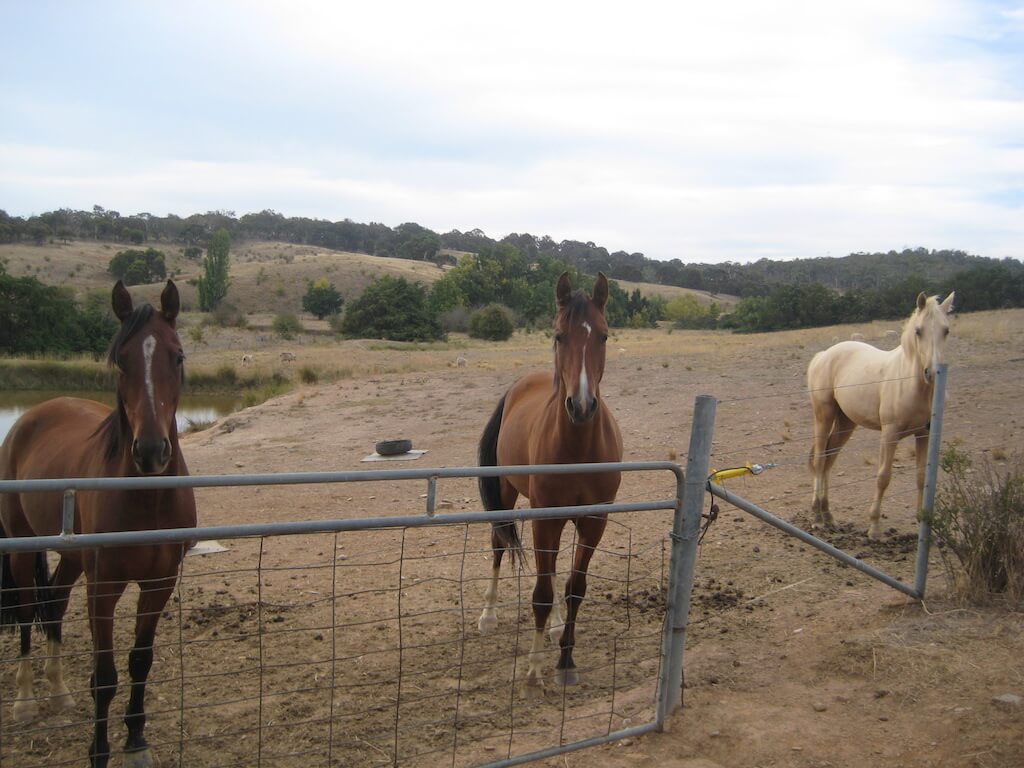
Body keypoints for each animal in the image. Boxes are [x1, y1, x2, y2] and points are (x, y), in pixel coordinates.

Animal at [0, 280, 197, 768]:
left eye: (177, 356)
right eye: (121, 359)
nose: (151, 451)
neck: (149, 501)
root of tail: (32, 416)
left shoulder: (159, 582)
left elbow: (140, 661)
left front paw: (137, 742)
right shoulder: (103, 586)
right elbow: (105, 675)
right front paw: (99, 751)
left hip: (72, 557)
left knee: (54, 602)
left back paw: (59, 692)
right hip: (22, 547)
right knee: (29, 612)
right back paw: (26, 700)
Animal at [477, 272, 623, 691]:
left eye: (604, 335)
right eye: (559, 335)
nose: (582, 406)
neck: (578, 448)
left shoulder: (594, 521)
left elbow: (575, 588)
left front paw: (566, 660)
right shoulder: (545, 519)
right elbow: (541, 592)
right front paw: (534, 669)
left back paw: (556, 626)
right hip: (509, 495)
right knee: (499, 544)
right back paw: (488, 615)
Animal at [807, 291, 955, 539]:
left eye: (946, 330)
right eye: (918, 331)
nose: (933, 373)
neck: (910, 383)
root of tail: (823, 355)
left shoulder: (924, 434)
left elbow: (920, 478)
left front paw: (921, 522)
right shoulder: (890, 433)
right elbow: (883, 477)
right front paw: (874, 527)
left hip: (846, 423)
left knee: (829, 460)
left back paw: (828, 517)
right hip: (823, 416)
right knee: (819, 461)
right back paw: (817, 518)